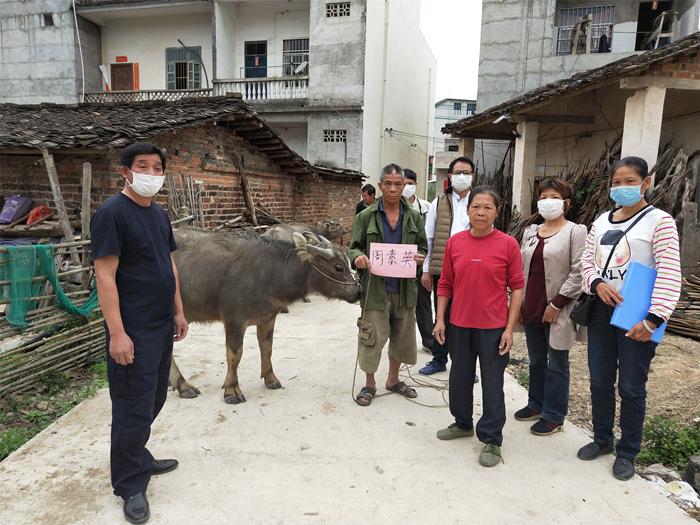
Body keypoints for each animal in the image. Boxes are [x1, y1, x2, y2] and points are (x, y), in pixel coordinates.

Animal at [170, 227, 360, 404]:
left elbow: (267, 347)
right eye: (338, 267)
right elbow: (235, 355)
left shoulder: (268, 317)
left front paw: (270, 378)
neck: (270, 273)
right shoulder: (233, 321)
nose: (358, 292)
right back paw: (183, 385)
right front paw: (232, 390)